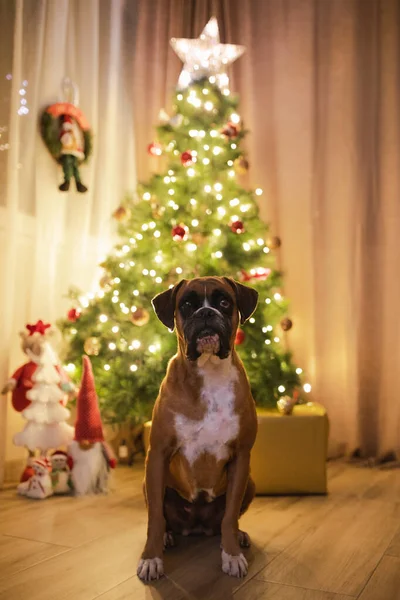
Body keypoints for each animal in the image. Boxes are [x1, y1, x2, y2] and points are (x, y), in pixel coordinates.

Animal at [137, 276, 256, 580]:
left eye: (224, 302)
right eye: (187, 305)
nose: (205, 313)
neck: (208, 373)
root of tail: (196, 526)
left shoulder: (241, 458)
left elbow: (229, 516)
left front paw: (231, 554)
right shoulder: (157, 455)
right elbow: (154, 518)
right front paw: (151, 558)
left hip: (250, 483)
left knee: (226, 521)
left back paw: (237, 536)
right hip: (149, 481)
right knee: (163, 517)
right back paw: (167, 537)